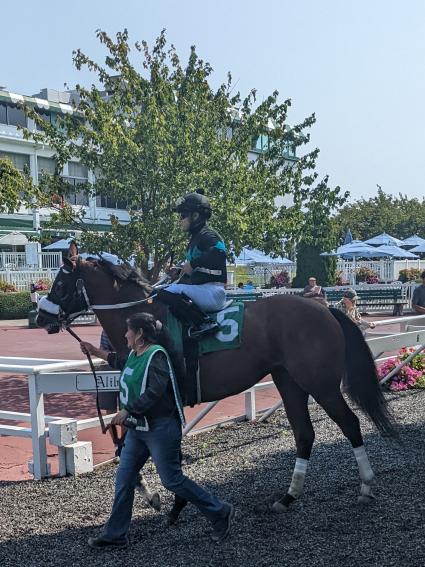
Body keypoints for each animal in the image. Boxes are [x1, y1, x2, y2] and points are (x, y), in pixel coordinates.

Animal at [35, 245, 394, 520]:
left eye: (60, 283)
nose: (41, 317)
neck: (145, 320)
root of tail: (326, 309)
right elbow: (132, 450)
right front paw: (160, 498)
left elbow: (140, 452)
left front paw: (165, 499)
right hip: (289, 382)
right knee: (304, 434)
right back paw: (287, 497)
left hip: (320, 384)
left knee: (350, 424)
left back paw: (366, 485)